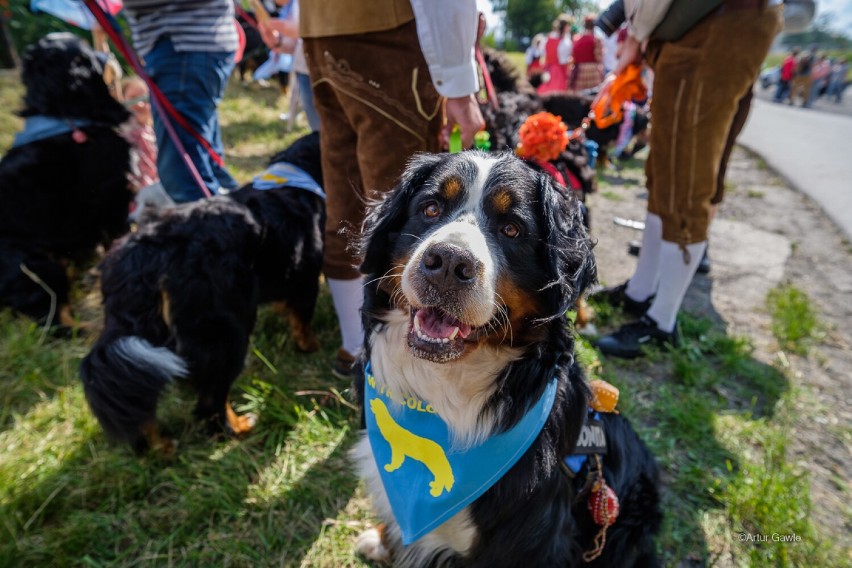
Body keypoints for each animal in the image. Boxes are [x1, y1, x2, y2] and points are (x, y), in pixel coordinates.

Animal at [0, 32, 133, 328]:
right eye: (84, 51)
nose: (108, 51)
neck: (65, 117)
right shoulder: (113, 198)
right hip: (36, 265)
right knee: (49, 316)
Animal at [78, 132, 324, 452]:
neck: (297, 175)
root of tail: (146, 251)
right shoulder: (306, 277)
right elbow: (303, 320)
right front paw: (310, 345)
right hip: (225, 333)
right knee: (210, 401)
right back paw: (237, 428)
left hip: (142, 335)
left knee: (136, 404)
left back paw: (160, 448)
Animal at [350, 152, 664, 568]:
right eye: (430, 209)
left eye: (511, 229)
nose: (448, 262)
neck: (444, 394)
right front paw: (381, 539)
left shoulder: (534, 536)